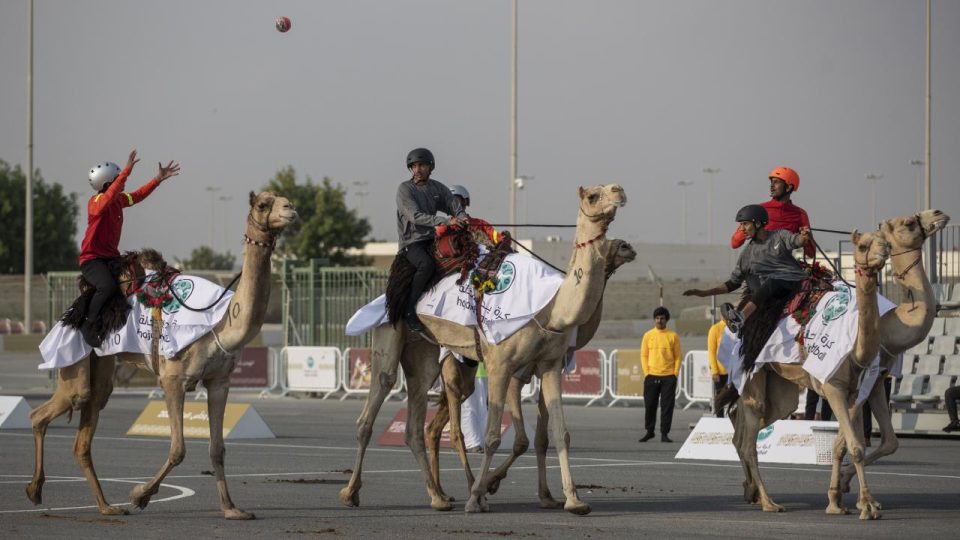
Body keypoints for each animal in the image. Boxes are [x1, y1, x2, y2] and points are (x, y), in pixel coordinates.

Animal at [27, 191, 296, 520]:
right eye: (262, 204)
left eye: (285, 200)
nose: (291, 210)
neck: (221, 320)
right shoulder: (173, 378)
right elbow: (178, 449)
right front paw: (139, 495)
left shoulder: (219, 380)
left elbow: (217, 448)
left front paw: (232, 509)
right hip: (76, 364)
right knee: (45, 413)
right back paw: (36, 490)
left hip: (101, 365)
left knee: (84, 432)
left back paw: (106, 507)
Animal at [426, 238, 636, 504]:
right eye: (603, 243)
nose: (626, 246)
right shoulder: (516, 375)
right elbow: (521, 442)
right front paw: (492, 483)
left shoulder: (545, 368)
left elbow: (541, 439)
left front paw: (547, 496)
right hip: (451, 362)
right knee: (454, 425)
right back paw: (467, 489)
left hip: (466, 372)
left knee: (434, 426)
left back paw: (441, 493)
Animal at [728, 228, 892, 520]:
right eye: (863, 245)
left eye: (885, 240)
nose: (884, 251)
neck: (857, 350)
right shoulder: (832, 386)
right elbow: (855, 447)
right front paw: (866, 506)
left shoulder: (857, 391)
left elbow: (850, 444)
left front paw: (843, 503)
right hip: (753, 374)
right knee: (749, 436)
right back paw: (769, 502)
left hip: (780, 390)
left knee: (746, 426)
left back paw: (752, 492)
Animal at [836, 208, 948, 494]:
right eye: (908, 223)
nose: (938, 212)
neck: (890, 327)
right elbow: (845, 439)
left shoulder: (878, 379)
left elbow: (889, 442)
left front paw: (843, 481)